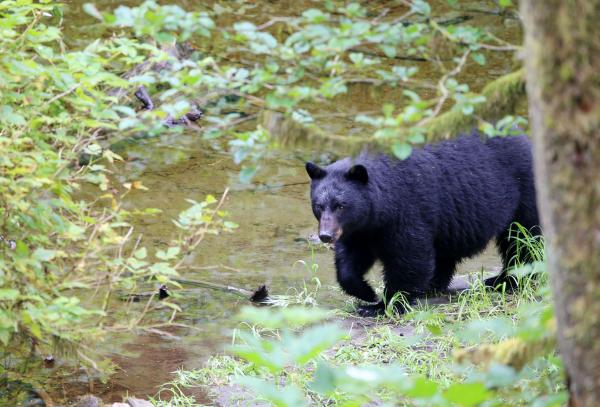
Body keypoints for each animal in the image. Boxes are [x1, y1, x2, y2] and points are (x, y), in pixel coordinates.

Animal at [304, 132, 540, 318]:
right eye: (318, 205)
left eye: (341, 205)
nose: (325, 235)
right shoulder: (360, 229)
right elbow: (350, 259)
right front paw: (367, 292)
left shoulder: (406, 210)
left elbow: (409, 257)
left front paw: (384, 305)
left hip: (523, 191)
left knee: (525, 238)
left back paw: (508, 280)